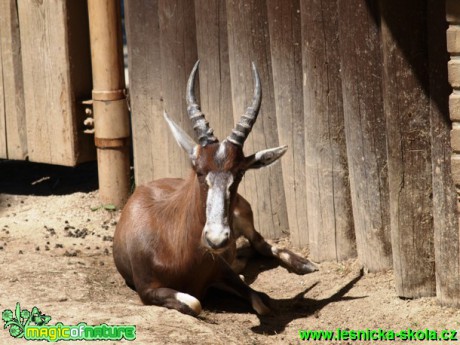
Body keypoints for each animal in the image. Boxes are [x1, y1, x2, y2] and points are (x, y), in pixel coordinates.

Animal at [113, 61, 318, 314]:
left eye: (240, 172)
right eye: (198, 170)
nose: (216, 238)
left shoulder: (223, 272)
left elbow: (261, 302)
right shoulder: (147, 290)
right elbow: (195, 303)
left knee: (259, 244)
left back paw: (305, 264)